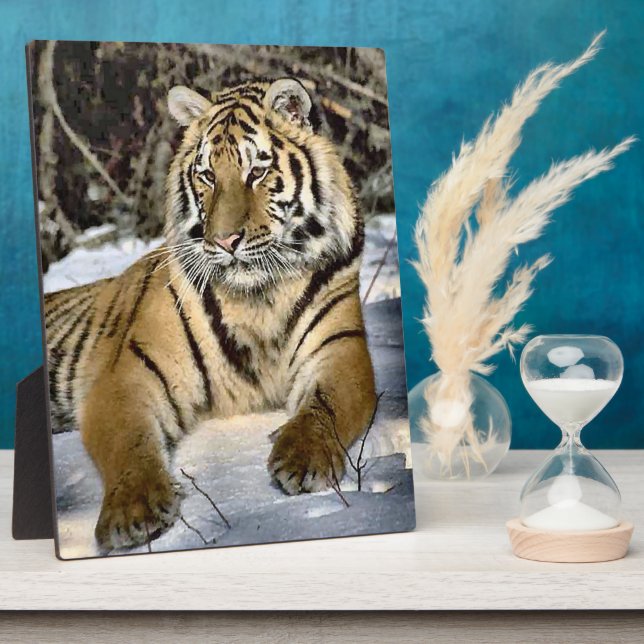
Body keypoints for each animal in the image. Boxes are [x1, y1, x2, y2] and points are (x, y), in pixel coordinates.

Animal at [43, 78, 377, 550]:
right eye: (207, 176)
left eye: (256, 172)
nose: (224, 241)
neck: (258, 296)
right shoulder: (127, 376)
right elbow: (128, 441)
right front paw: (134, 511)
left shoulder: (340, 351)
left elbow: (325, 407)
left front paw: (301, 458)